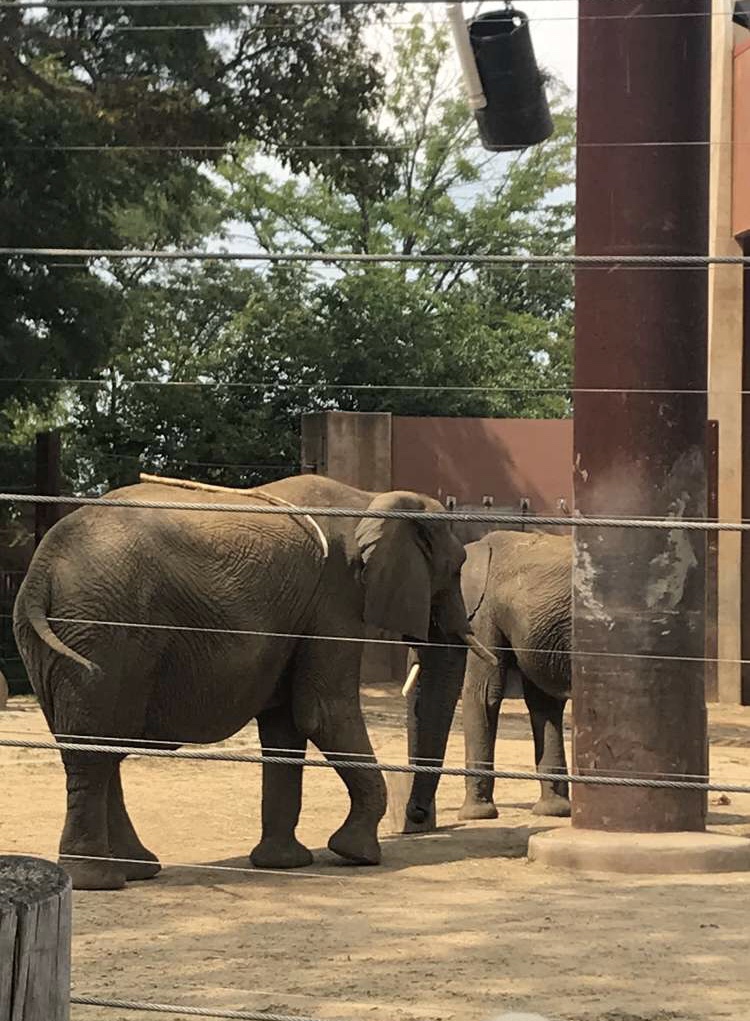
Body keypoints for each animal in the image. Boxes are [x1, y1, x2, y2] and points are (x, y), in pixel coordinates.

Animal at [13, 472, 494, 891]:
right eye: (456, 568)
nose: (417, 817)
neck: (370, 497)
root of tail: (41, 568)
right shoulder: (335, 599)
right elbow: (322, 711)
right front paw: (357, 855)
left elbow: (286, 726)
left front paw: (285, 863)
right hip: (105, 627)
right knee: (95, 747)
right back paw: (100, 881)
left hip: (64, 636)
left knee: (97, 745)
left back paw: (137, 871)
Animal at [404, 528, 571, 828]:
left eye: (432, 615)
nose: (418, 814)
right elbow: (542, 701)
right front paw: (554, 810)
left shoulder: (483, 615)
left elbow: (481, 694)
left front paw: (475, 815)